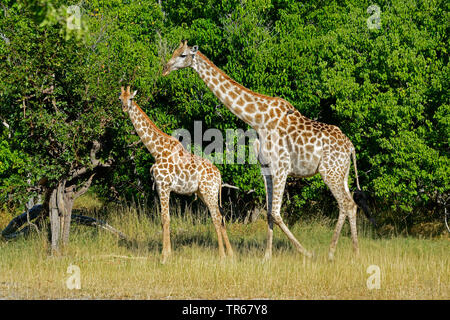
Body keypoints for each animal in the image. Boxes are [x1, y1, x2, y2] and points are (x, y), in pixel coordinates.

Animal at [118, 85, 234, 262]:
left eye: (131, 98)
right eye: (120, 98)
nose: (124, 108)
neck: (156, 150)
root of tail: (219, 175)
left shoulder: (164, 186)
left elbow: (165, 219)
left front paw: (164, 257)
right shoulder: (161, 187)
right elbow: (164, 219)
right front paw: (167, 254)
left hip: (209, 191)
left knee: (216, 217)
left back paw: (222, 256)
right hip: (203, 193)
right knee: (220, 216)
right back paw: (231, 255)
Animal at [162, 40, 372, 260]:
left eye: (183, 55)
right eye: (174, 52)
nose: (165, 68)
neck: (257, 119)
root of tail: (351, 147)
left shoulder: (281, 167)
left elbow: (276, 213)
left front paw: (305, 252)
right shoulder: (266, 168)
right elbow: (270, 213)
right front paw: (267, 257)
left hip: (329, 172)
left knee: (346, 204)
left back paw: (333, 253)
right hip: (341, 173)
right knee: (350, 204)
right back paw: (354, 252)